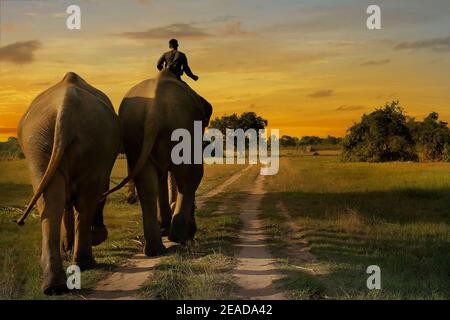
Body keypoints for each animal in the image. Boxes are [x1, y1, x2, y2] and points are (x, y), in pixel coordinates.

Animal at [16, 72, 121, 296]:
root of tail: (66, 106)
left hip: (47, 141)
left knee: (55, 200)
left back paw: (60, 281)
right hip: (46, 140)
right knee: (77, 200)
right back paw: (76, 268)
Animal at [103, 69, 213, 255]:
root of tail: (154, 109)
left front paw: (164, 229)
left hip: (135, 131)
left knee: (147, 185)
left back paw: (156, 249)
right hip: (182, 128)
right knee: (190, 177)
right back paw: (179, 237)